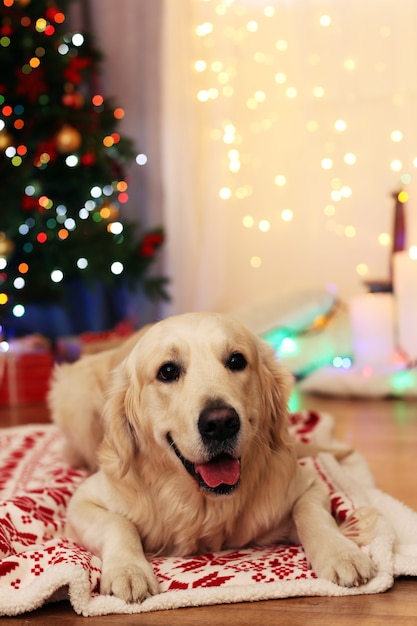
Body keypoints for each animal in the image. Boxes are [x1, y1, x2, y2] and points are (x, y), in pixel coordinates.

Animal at [48, 312, 374, 600]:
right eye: (167, 371)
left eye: (236, 360)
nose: (219, 423)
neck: (204, 504)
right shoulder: (82, 503)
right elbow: (118, 524)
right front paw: (129, 571)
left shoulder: (308, 484)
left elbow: (311, 513)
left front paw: (341, 553)